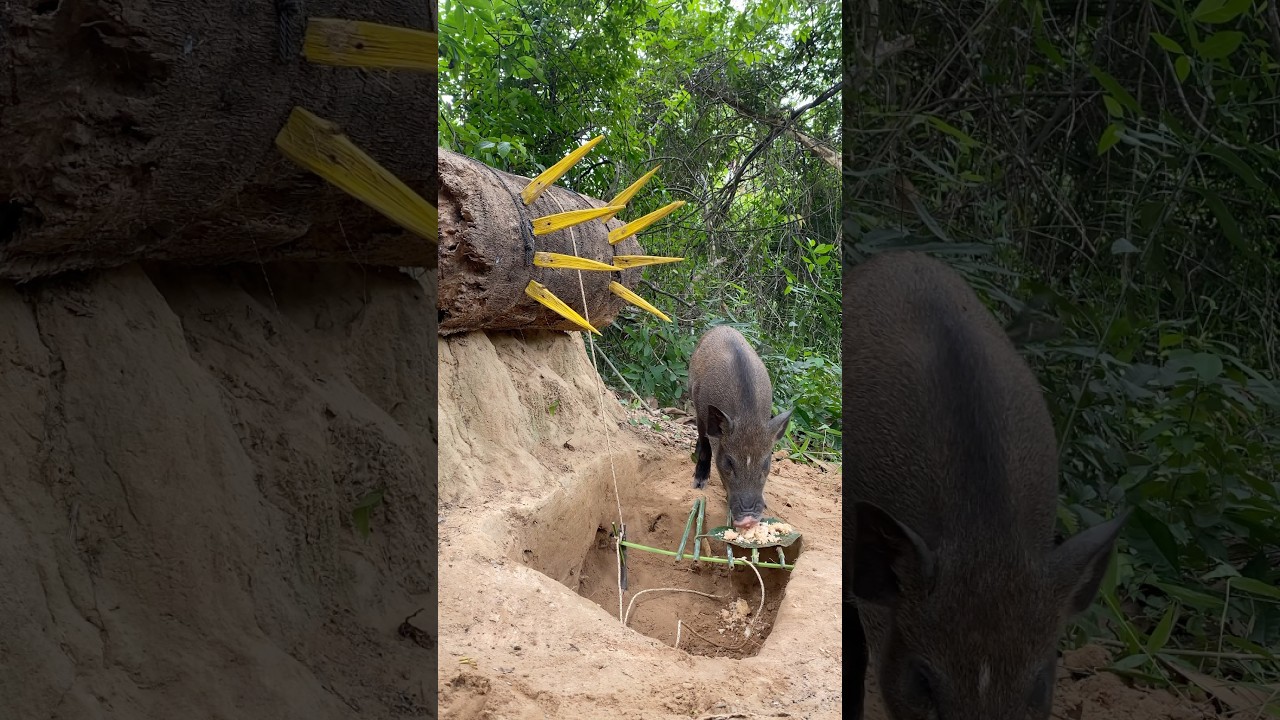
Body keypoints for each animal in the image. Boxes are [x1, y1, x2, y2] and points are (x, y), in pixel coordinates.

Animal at [688, 325, 793, 530]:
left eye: (766, 463)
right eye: (729, 462)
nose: (749, 519)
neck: (747, 417)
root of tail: (722, 327)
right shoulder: (701, 411)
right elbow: (705, 446)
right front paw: (698, 485)